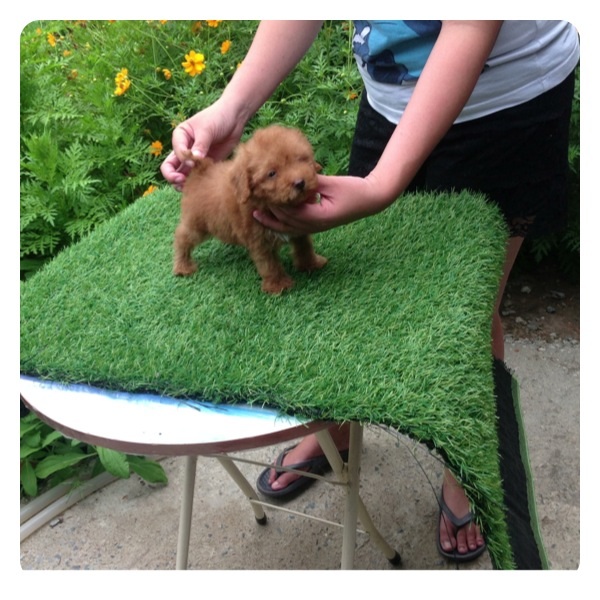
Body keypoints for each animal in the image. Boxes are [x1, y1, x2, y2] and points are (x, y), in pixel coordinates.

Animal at [173, 125, 328, 294]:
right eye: (272, 173)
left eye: (301, 159)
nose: (300, 183)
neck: (264, 203)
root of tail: (201, 169)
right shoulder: (258, 239)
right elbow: (269, 264)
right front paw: (278, 285)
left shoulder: (298, 230)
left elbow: (305, 247)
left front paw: (311, 264)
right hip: (196, 223)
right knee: (182, 238)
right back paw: (182, 266)